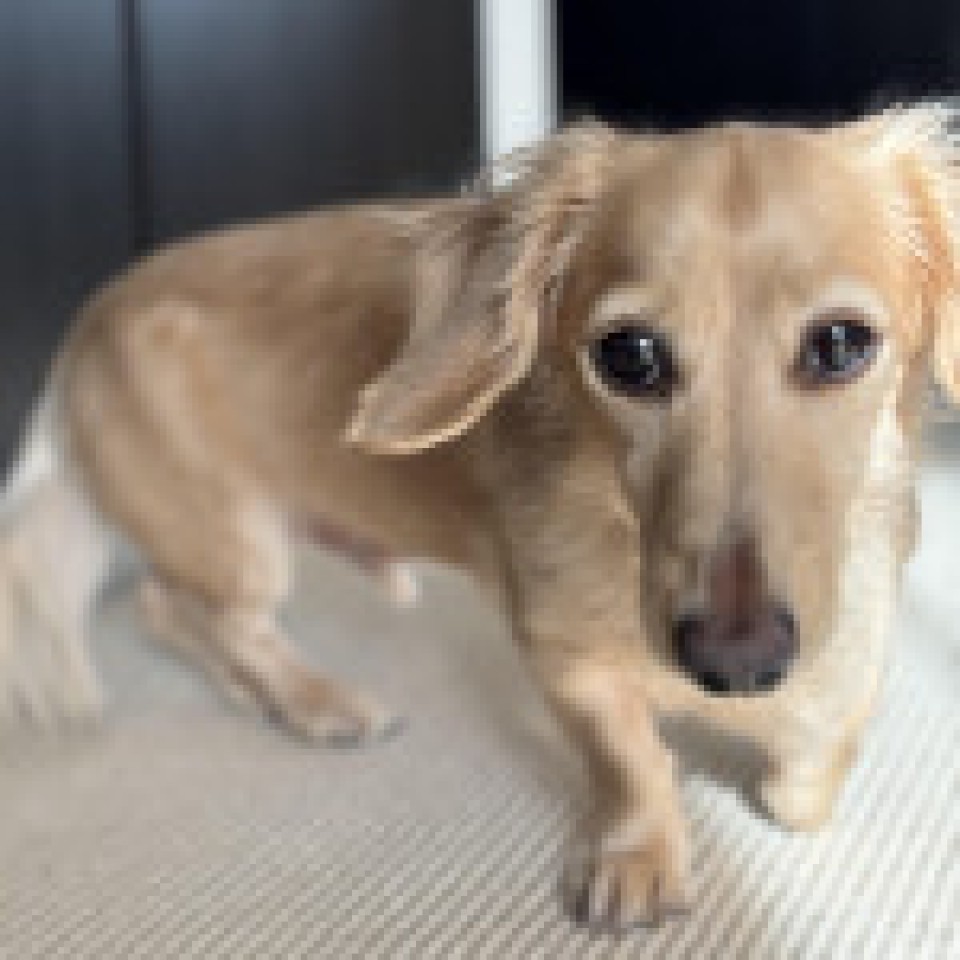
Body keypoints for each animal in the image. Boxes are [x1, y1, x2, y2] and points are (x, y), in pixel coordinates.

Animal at [1, 104, 958, 930]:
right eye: (629, 355)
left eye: (840, 343)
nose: (738, 661)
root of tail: (86, 324)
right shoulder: (564, 657)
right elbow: (629, 759)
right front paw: (638, 856)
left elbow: (811, 766)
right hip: (237, 539)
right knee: (203, 613)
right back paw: (318, 703)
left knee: (169, 609)